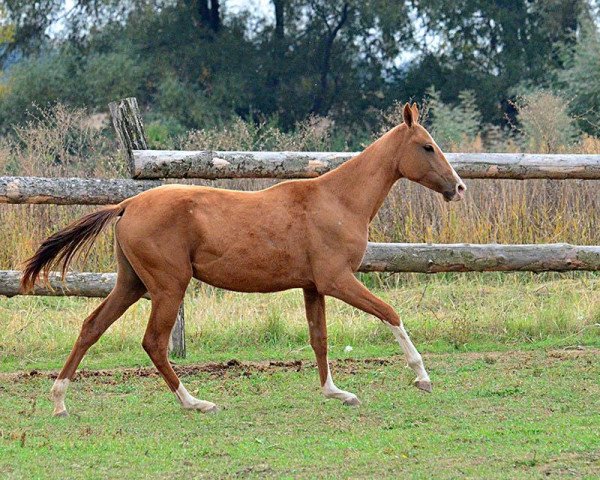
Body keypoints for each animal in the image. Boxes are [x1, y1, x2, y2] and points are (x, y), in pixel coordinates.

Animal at [21, 102, 464, 416]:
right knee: (154, 343)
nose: (458, 188)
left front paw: (336, 392)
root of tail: (126, 204)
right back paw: (196, 402)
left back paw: (59, 401)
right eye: (427, 146)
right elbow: (390, 314)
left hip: (131, 283)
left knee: (91, 327)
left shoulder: (313, 287)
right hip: (168, 286)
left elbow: (319, 339)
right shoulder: (337, 280)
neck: (337, 200)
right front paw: (422, 376)